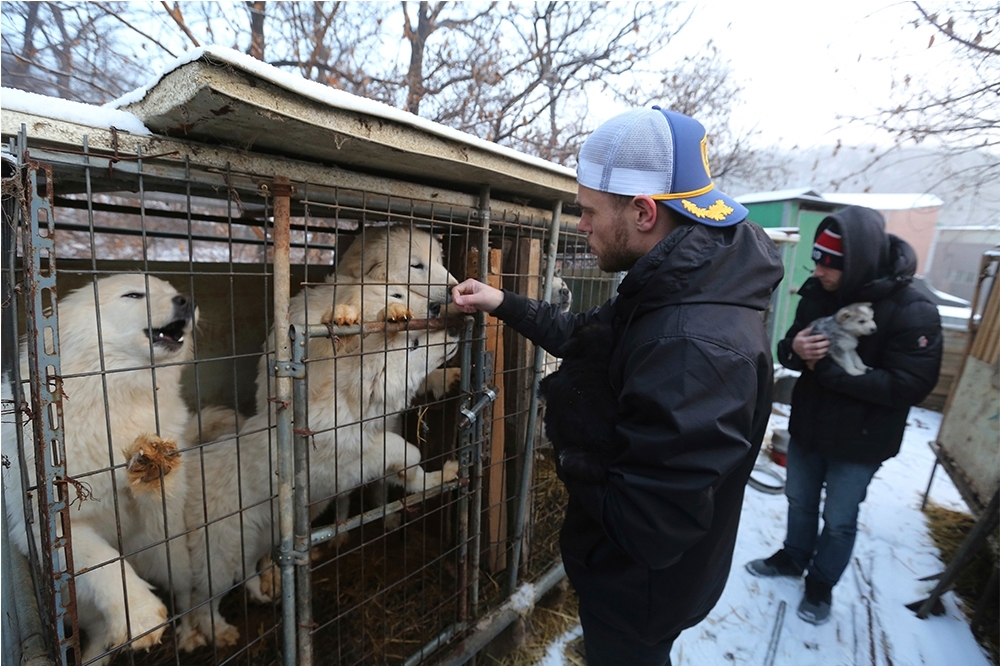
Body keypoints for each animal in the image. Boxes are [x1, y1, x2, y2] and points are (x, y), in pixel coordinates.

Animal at [0, 272, 199, 660]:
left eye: (171, 291)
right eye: (133, 295)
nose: (187, 300)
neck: (116, 396)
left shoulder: (155, 518)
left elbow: (159, 494)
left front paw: (153, 467)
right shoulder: (58, 529)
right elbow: (106, 563)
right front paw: (139, 616)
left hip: (172, 560)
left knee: (188, 596)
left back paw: (198, 632)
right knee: (98, 634)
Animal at [184, 286, 460, 648]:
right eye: (413, 344)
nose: (453, 328)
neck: (353, 405)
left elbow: (406, 467)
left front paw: (443, 476)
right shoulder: (354, 457)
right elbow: (406, 451)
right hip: (222, 556)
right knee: (203, 601)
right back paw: (219, 630)